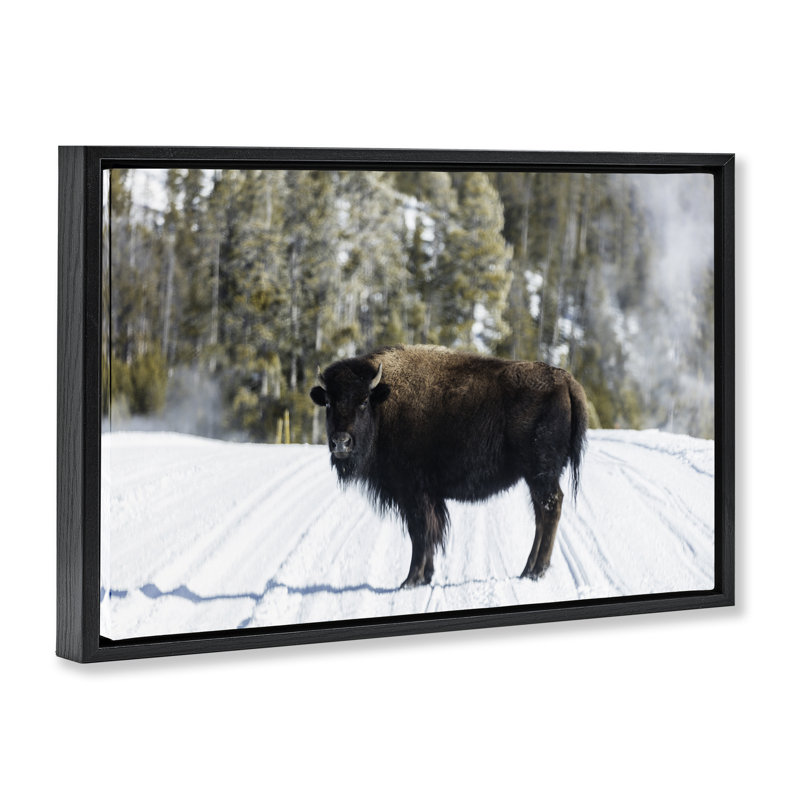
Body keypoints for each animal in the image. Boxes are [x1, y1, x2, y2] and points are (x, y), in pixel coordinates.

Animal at [310, 344, 588, 588]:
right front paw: (425, 577)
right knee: (541, 515)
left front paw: (410, 580)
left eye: (363, 401)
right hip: (535, 478)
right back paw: (527, 570)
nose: (341, 442)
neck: (384, 403)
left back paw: (537, 571)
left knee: (550, 509)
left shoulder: (413, 493)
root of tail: (565, 380)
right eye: (329, 402)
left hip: (541, 474)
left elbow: (420, 533)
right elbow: (429, 533)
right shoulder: (428, 497)